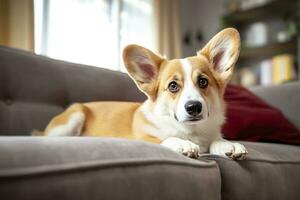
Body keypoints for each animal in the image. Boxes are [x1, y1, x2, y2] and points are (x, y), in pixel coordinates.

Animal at [42, 28, 248, 159]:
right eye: (173, 86)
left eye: (203, 82)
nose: (194, 107)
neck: (189, 130)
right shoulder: (142, 138)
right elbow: (164, 138)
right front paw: (183, 144)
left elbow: (216, 140)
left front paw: (228, 144)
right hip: (73, 118)